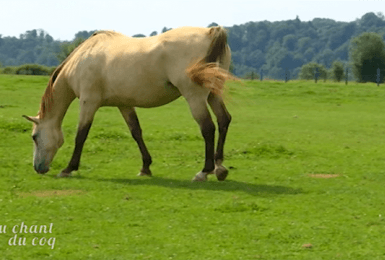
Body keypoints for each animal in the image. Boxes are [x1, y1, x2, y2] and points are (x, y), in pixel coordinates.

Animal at [24, 25, 236, 181]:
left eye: (34, 137)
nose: (38, 168)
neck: (82, 59)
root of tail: (210, 31)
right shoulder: (124, 104)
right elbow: (136, 132)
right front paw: (145, 167)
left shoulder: (88, 102)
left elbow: (81, 135)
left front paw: (68, 168)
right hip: (213, 94)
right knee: (223, 120)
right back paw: (219, 168)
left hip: (195, 97)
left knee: (208, 128)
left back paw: (204, 171)